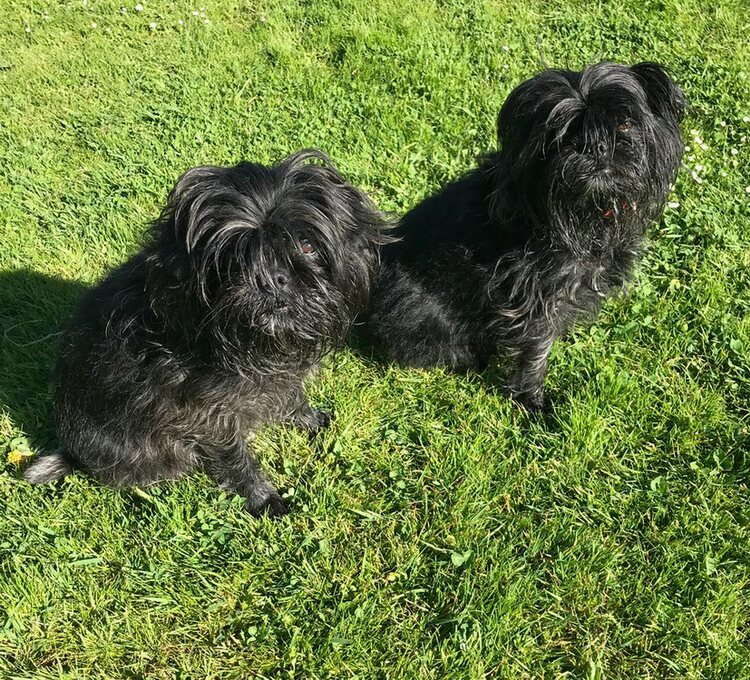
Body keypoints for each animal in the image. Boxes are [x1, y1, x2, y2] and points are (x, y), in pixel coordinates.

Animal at [23, 149, 389, 517]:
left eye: (307, 245)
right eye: (233, 257)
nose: (270, 279)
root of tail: (74, 454)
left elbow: (293, 395)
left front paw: (309, 419)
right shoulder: (208, 416)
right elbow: (235, 457)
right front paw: (262, 498)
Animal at [363, 62, 685, 411]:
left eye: (624, 124)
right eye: (563, 134)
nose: (596, 146)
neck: (586, 215)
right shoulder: (534, 301)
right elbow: (536, 351)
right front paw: (531, 401)